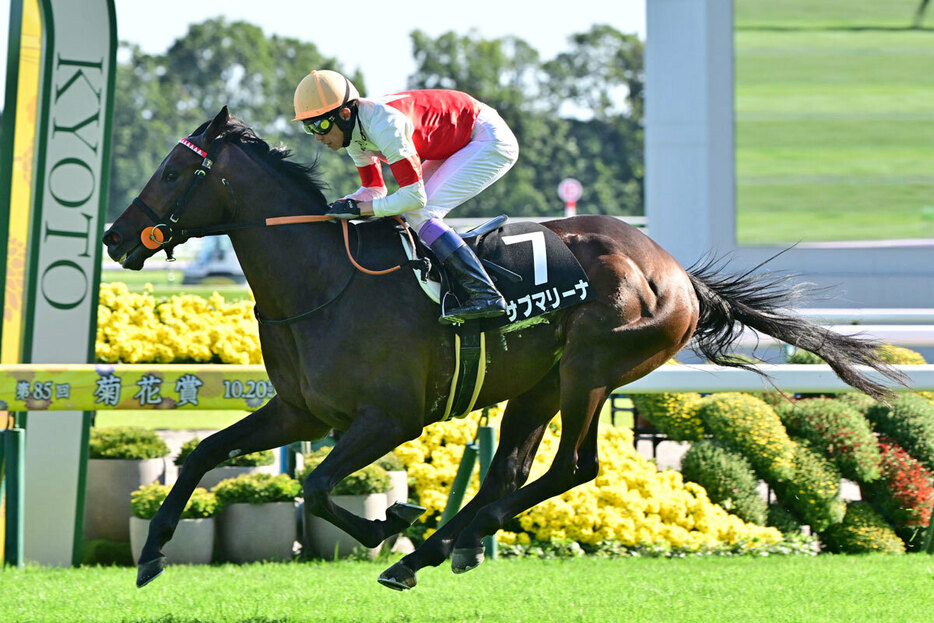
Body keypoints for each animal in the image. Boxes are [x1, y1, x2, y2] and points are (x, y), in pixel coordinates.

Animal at [104, 106, 908, 588]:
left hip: (591, 369)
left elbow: (318, 486)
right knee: (512, 471)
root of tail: (677, 272)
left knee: (571, 468)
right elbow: (205, 453)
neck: (324, 282)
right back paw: (442, 547)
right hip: (539, 385)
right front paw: (151, 553)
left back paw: (426, 547)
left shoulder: (388, 419)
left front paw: (387, 522)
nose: (115, 237)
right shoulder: (301, 411)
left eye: (173, 170)